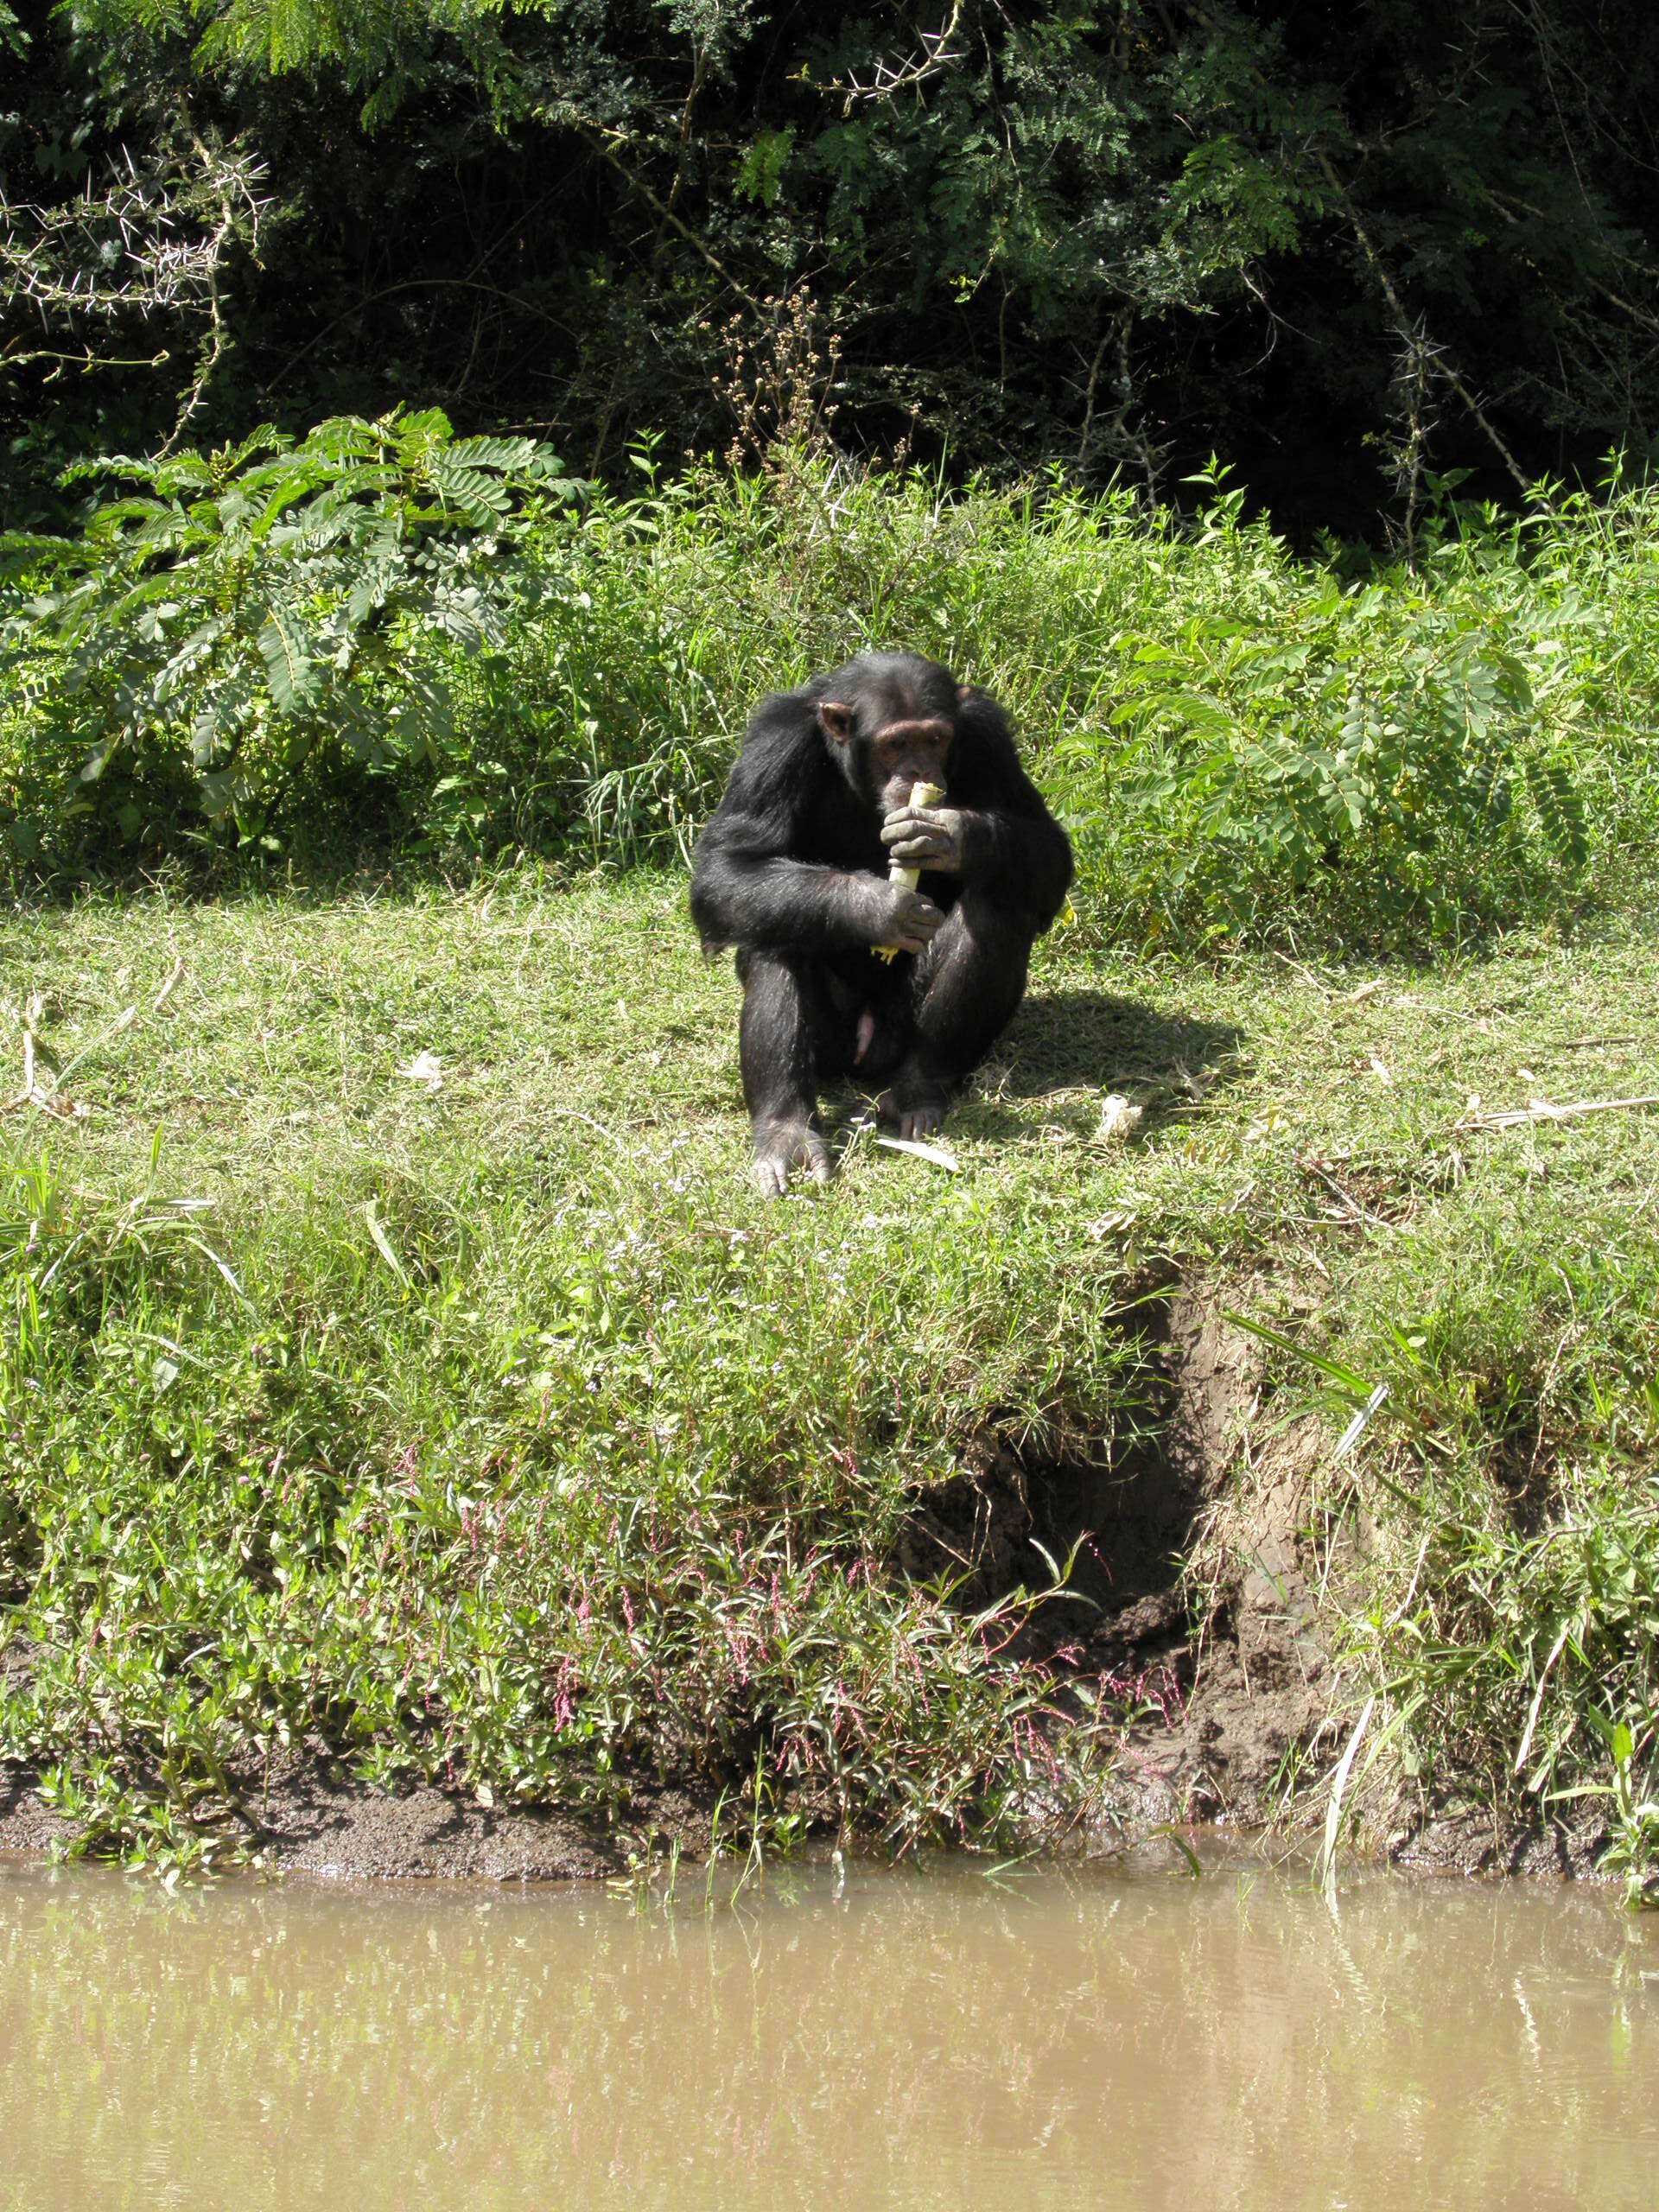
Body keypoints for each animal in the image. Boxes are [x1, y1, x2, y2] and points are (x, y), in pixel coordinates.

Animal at [690, 645, 1079, 1194]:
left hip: (899, 1032)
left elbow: (1047, 846)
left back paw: (920, 1088)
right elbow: (729, 865)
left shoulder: (988, 734)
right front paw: (878, 907)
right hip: (834, 1049)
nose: (918, 771)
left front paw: (949, 834)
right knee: (770, 928)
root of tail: (868, 1051)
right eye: (895, 744)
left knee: (998, 903)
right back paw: (786, 1131)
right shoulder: (773, 742)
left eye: (934, 739)